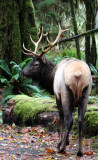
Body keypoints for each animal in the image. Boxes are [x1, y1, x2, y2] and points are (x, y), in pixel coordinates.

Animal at [21, 24, 92, 157]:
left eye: (36, 64)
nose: (22, 72)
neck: (51, 77)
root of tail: (78, 74)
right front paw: (67, 140)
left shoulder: (56, 95)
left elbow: (60, 117)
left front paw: (60, 142)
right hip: (85, 94)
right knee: (80, 120)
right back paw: (80, 151)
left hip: (65, 93)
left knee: (69, 119)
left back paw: (61, 148)